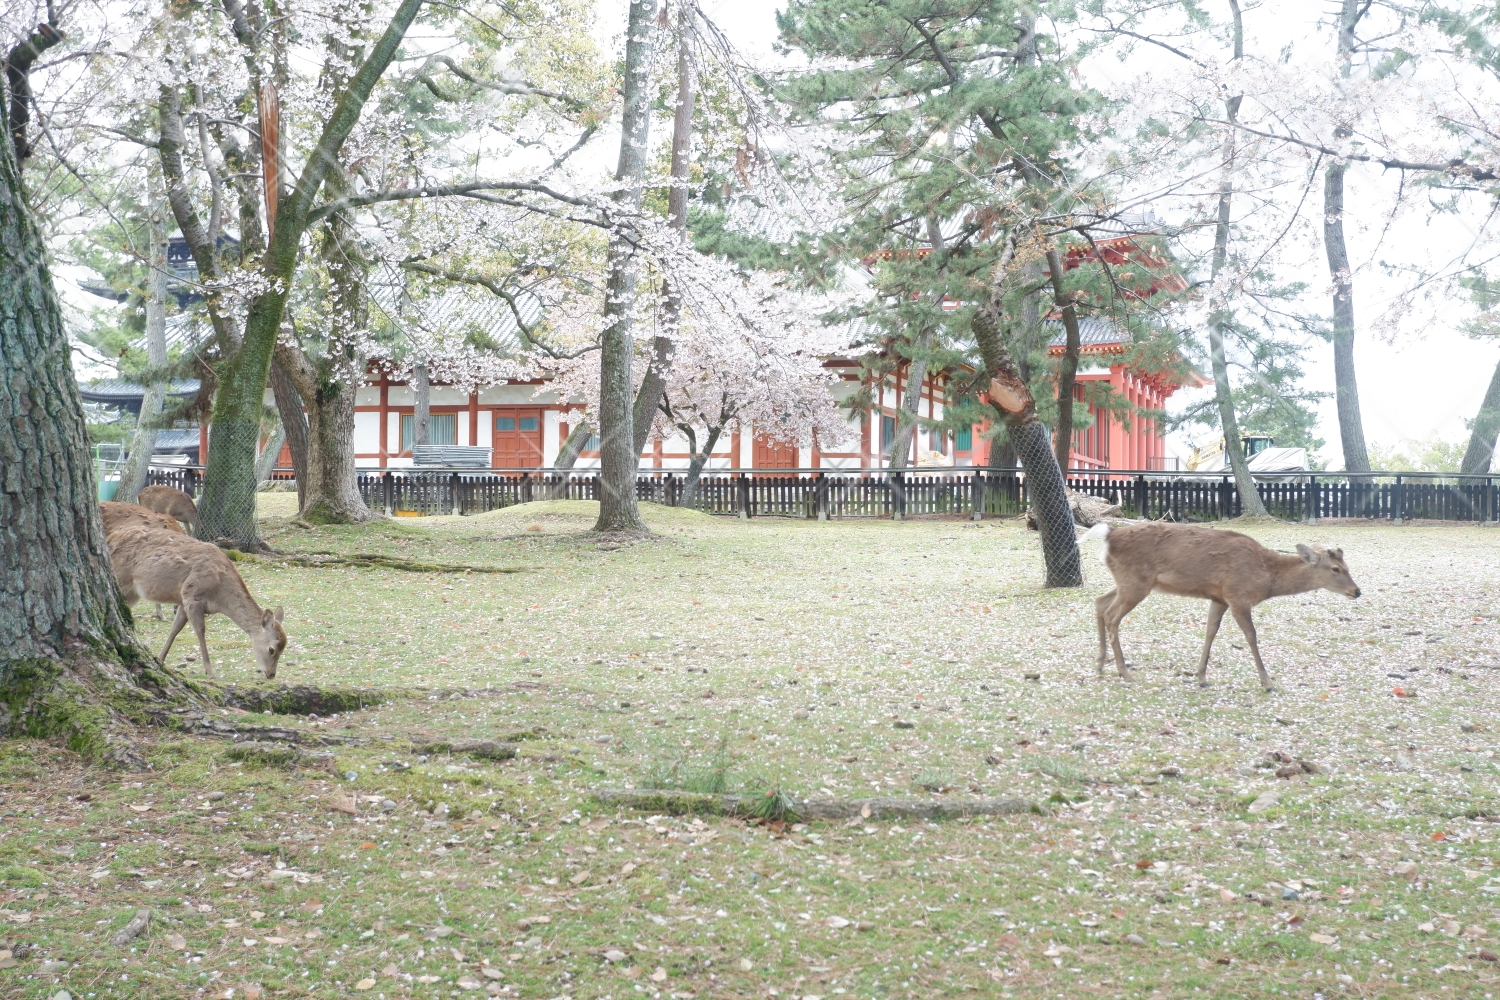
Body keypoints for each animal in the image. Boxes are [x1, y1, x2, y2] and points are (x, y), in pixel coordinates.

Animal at [106, 524, 286, 680]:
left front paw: (160, 659)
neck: (220, 598)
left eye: (283, 649)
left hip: (132, 593)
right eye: (271, 649)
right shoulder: (193, 596)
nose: (271, 674)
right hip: (121, 579)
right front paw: (211, 672)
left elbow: (175, 629)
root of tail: (109, 537)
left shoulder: (183, 602)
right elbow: (200, 631)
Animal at [1080, 521, 1362, 692]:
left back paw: (1100, 664)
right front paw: (1267, 681)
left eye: (1348, 566)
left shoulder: (1219, 597)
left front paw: (1201, 677)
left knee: (1100, 602)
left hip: (1127, 581)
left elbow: (1210, 632)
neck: (1267, 579)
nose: (1356, 591)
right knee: (1112, 616)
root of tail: (1108, 535)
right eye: (1336, 569)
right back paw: (1124, 673)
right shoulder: (1238, 595)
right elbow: (1251, 636)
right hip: (1135, 582)